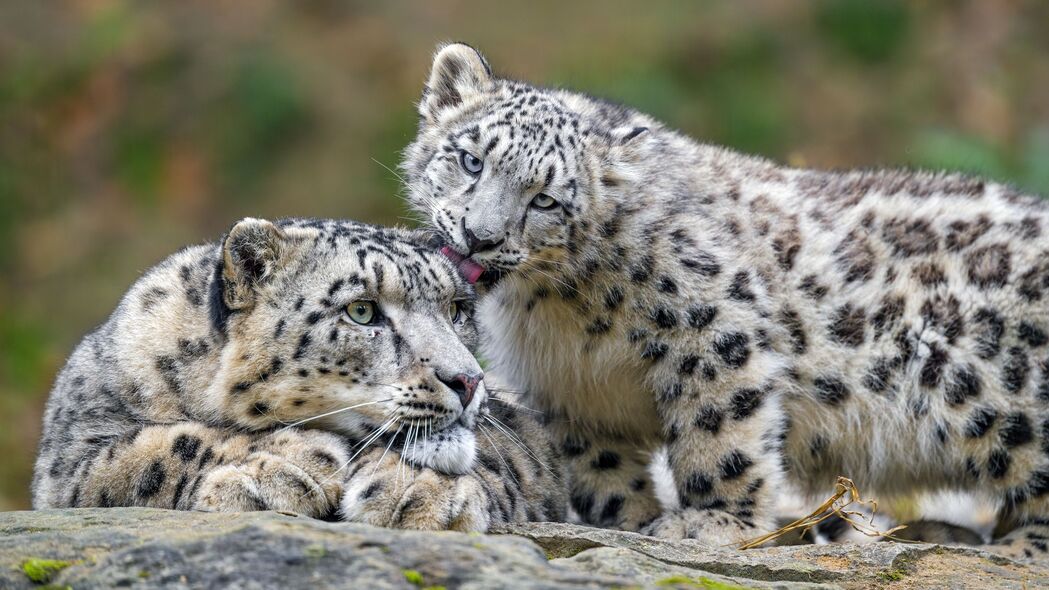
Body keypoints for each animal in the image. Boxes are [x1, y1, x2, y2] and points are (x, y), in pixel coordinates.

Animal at [30, 218, 566, 531]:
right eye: (362, 311)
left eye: (457, 309)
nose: (469, 380)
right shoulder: (71, 453)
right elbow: (152, 448)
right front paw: (289, 462)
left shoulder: (528, 434)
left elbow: (501, 454)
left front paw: (422, 492)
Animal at [404, 42, 1049, 558]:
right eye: (470, 159)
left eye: (545, 200)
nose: (479, 236)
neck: (555, 311)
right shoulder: (567, 389)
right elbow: (601, 468)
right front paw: (637, 521)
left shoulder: (715, 330)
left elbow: (721, 434)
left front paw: (711, 524)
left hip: (1001, 398)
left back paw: (1003, 551)